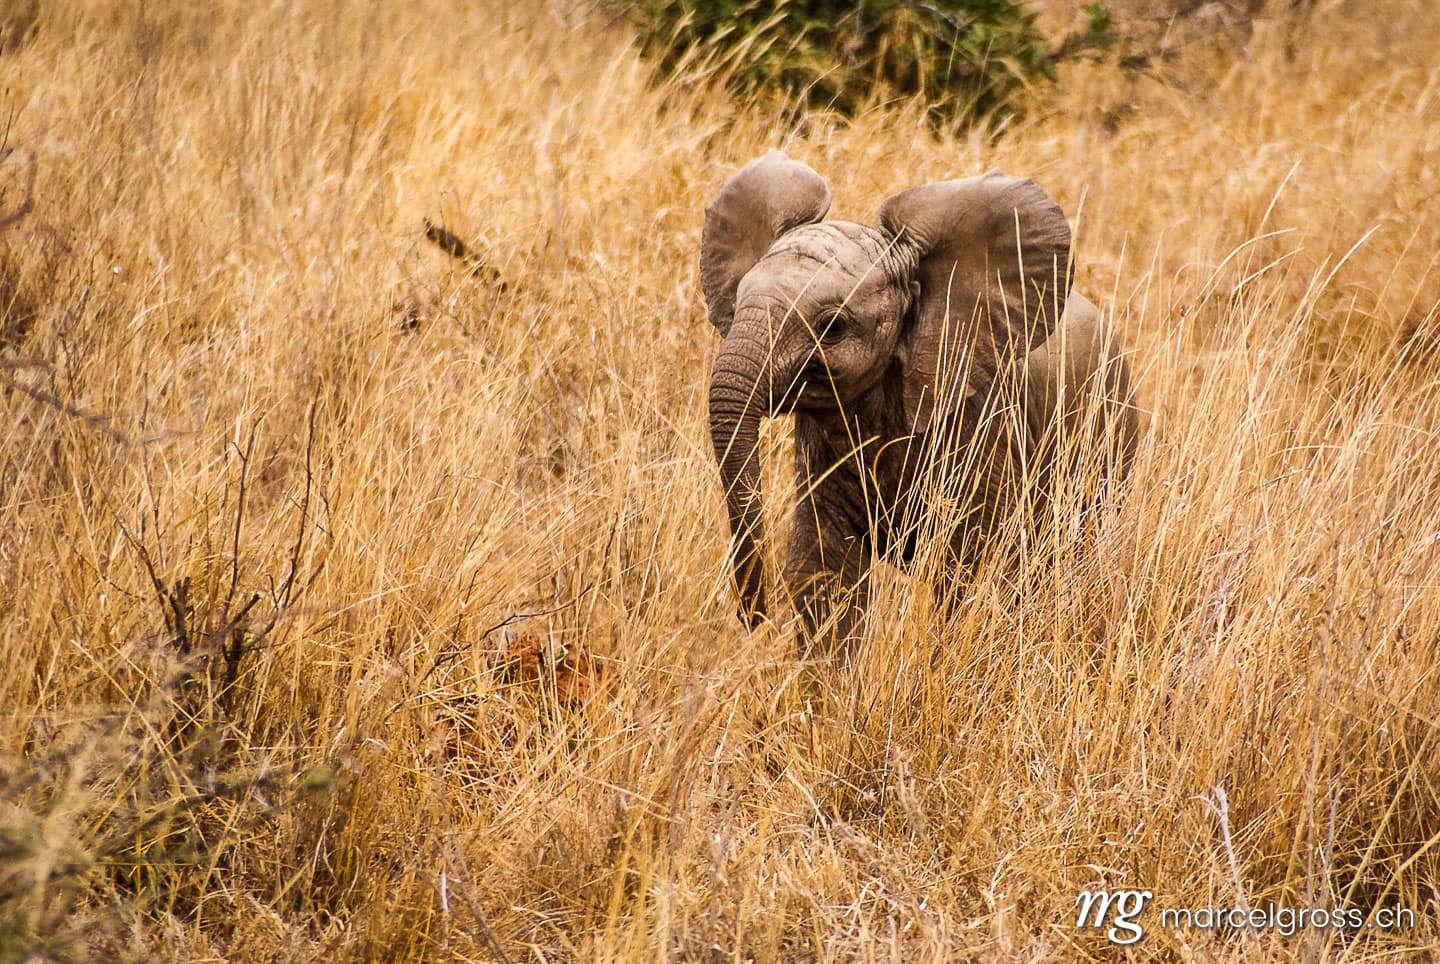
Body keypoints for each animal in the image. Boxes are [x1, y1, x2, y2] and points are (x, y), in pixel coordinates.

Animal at [702, 150, 1138, 653]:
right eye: (737, 302)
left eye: (833, 325)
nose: (754, 616)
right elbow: (825, 575)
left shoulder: (985, 421)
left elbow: (974, 570)